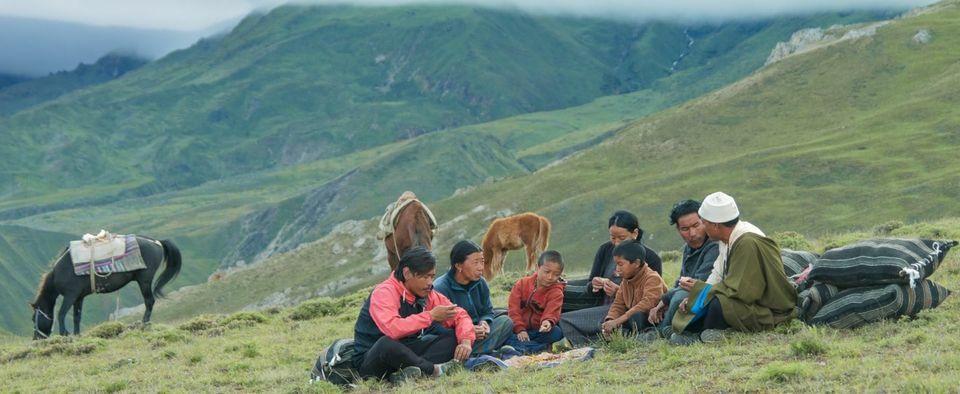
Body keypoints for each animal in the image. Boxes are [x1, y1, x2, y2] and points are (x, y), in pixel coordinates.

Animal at [29, 237, 182, 338]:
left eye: (33, 318)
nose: (37, 338)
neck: (60, 271)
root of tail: (156, 242)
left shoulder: (70, 296)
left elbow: (61, 314)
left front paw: (64, 334)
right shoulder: (78, 298)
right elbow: (77, 317)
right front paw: (77, 334)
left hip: (144, 281)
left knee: (149, 301)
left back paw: (144, 323)